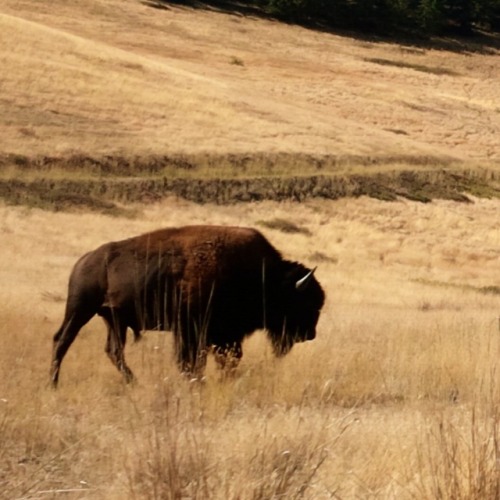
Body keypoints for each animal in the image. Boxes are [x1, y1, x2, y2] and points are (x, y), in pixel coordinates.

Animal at [49, 225, 324, 384]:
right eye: (304, 303)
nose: (311, 334)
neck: (263, 277)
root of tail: (85, 260)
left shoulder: (225, 335)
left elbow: (229, 359)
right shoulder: (191, 331)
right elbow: (192, 362)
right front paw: (197, 383)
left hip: (114, 320)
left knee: (114, 351)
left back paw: (133, 382)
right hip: (79, 310)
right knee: (62, 340)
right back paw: (53, 383)